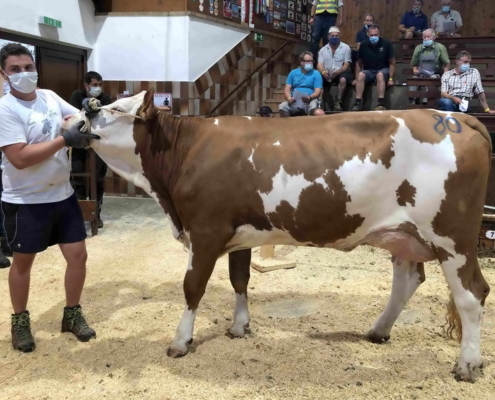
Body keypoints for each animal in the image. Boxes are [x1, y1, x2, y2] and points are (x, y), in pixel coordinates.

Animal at [63, 90, 492, 382]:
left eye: (111, 109)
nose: (81, 111)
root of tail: (454, 117)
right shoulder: (238, 233)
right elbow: (239, 279)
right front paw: (239, 326)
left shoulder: (205, 230)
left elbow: (193, 287)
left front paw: (180, 341)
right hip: (404, 234)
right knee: (407, 280)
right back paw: (379, 330)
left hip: (452, 238)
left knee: (472, 294)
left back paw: (467, 364)